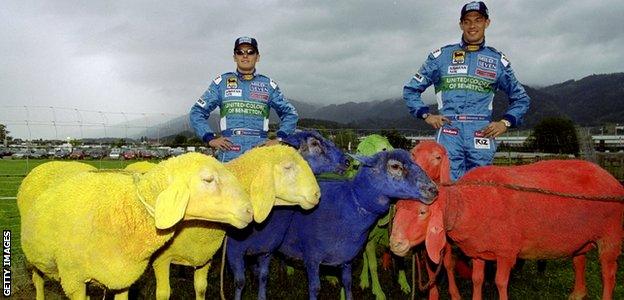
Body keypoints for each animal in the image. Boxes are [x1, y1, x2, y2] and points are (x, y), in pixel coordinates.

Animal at [19, 154, 254, 298]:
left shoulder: (123, 280)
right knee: (38, 281)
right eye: (208, 179)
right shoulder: (73, 282)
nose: (250, 211)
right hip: (32, 258)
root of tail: (45, 165)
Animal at [149, 144, 320, 298]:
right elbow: (163, 294)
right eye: (287, 167)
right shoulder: (161, 259)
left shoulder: (205, 257)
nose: (317, 194)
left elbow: (201, 289)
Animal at [225, 129, 352, 300]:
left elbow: (263, 276)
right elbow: (239, 282)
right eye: (314, 143)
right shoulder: (234, 251)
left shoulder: (267, 248)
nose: (347, 161)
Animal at [278, 150, 438, 300]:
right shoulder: (312, 258)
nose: (434, 189)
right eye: (395, 166)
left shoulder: (346, 258)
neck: (350, 202)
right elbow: (314, 288)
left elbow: (348, 284)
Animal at [390, 144, 624, 300]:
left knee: (608, 273)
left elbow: (500, 282)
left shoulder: (506, 253)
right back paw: (578, 293)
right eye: (398, 208)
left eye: (423, 212)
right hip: (581, 235)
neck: (468, 203)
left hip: (611, 236)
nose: (395, 243)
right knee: (579, 259)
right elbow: (477, 279)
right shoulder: (478, 250)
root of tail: (610, 178)